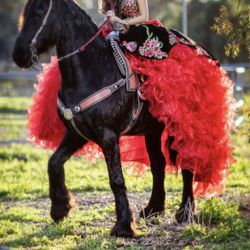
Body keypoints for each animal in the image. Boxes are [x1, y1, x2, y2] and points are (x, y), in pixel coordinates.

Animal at [12, 0, 194, 237]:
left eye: (40, 11)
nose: (19, 55)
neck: (93, 70)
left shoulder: (108, 136)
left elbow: (116, 179)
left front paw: (123, 226)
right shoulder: (77, 133)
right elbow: (53, 163)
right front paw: (60, 209)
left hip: (180, 128)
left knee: (187, 165)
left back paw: (185, 213)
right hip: (152, 131)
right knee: (158, 165)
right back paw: (153, 210)